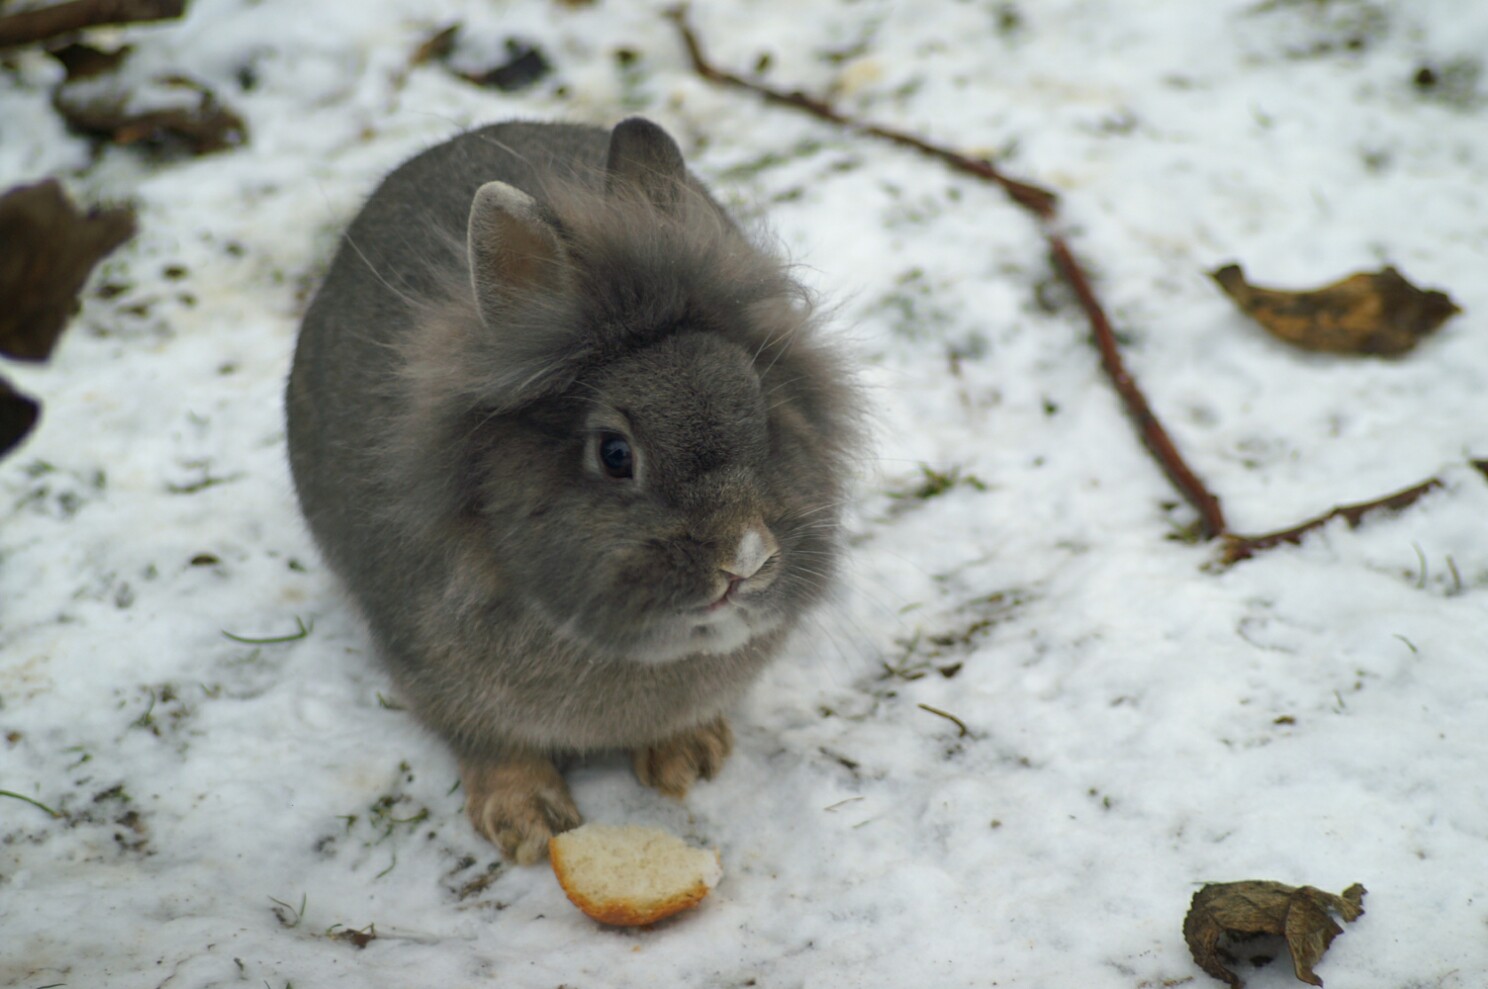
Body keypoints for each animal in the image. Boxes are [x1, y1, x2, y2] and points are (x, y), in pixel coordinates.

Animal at [287, 116, 863, 862]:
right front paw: (529, 823)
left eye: (762, 410)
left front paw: (688, 759)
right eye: (615, 455)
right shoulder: (434, 674)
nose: (745, 559)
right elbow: (491, 745)